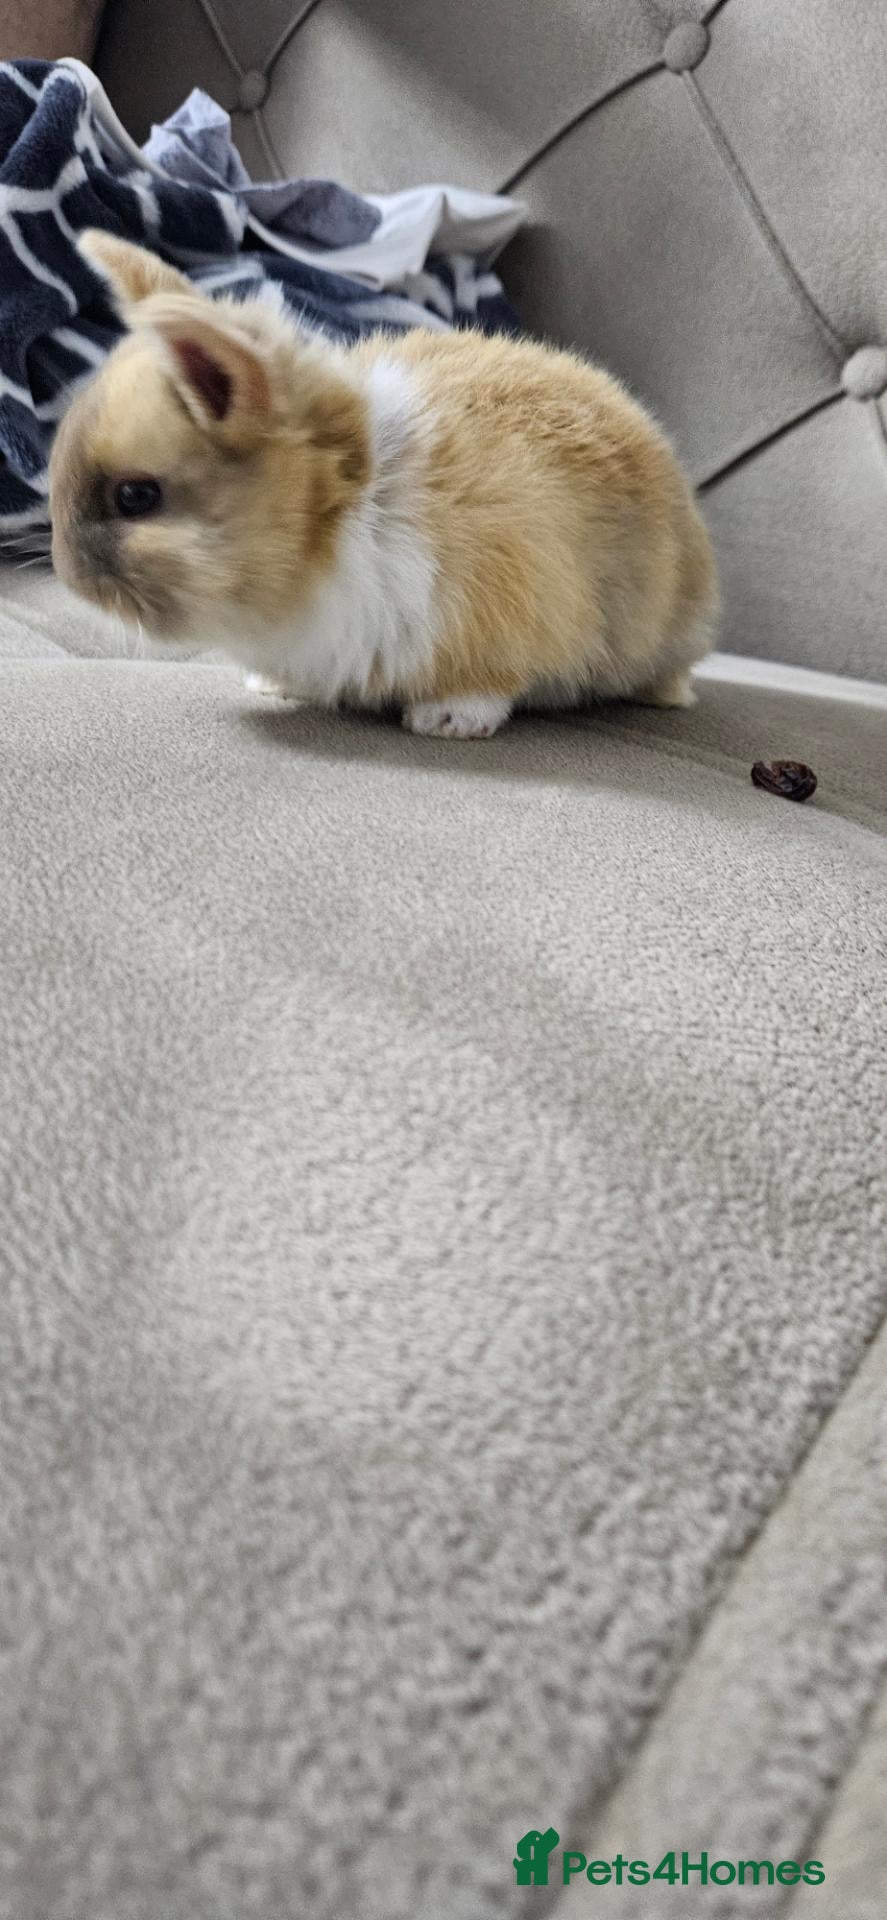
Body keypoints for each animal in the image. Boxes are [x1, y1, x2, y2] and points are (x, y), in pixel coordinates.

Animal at [50, 231, 719, 738]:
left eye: (137, 496)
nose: (67, 576)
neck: (338, 517)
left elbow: (488, 680)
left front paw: (446, 721)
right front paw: (271, 685)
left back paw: (668, 694)